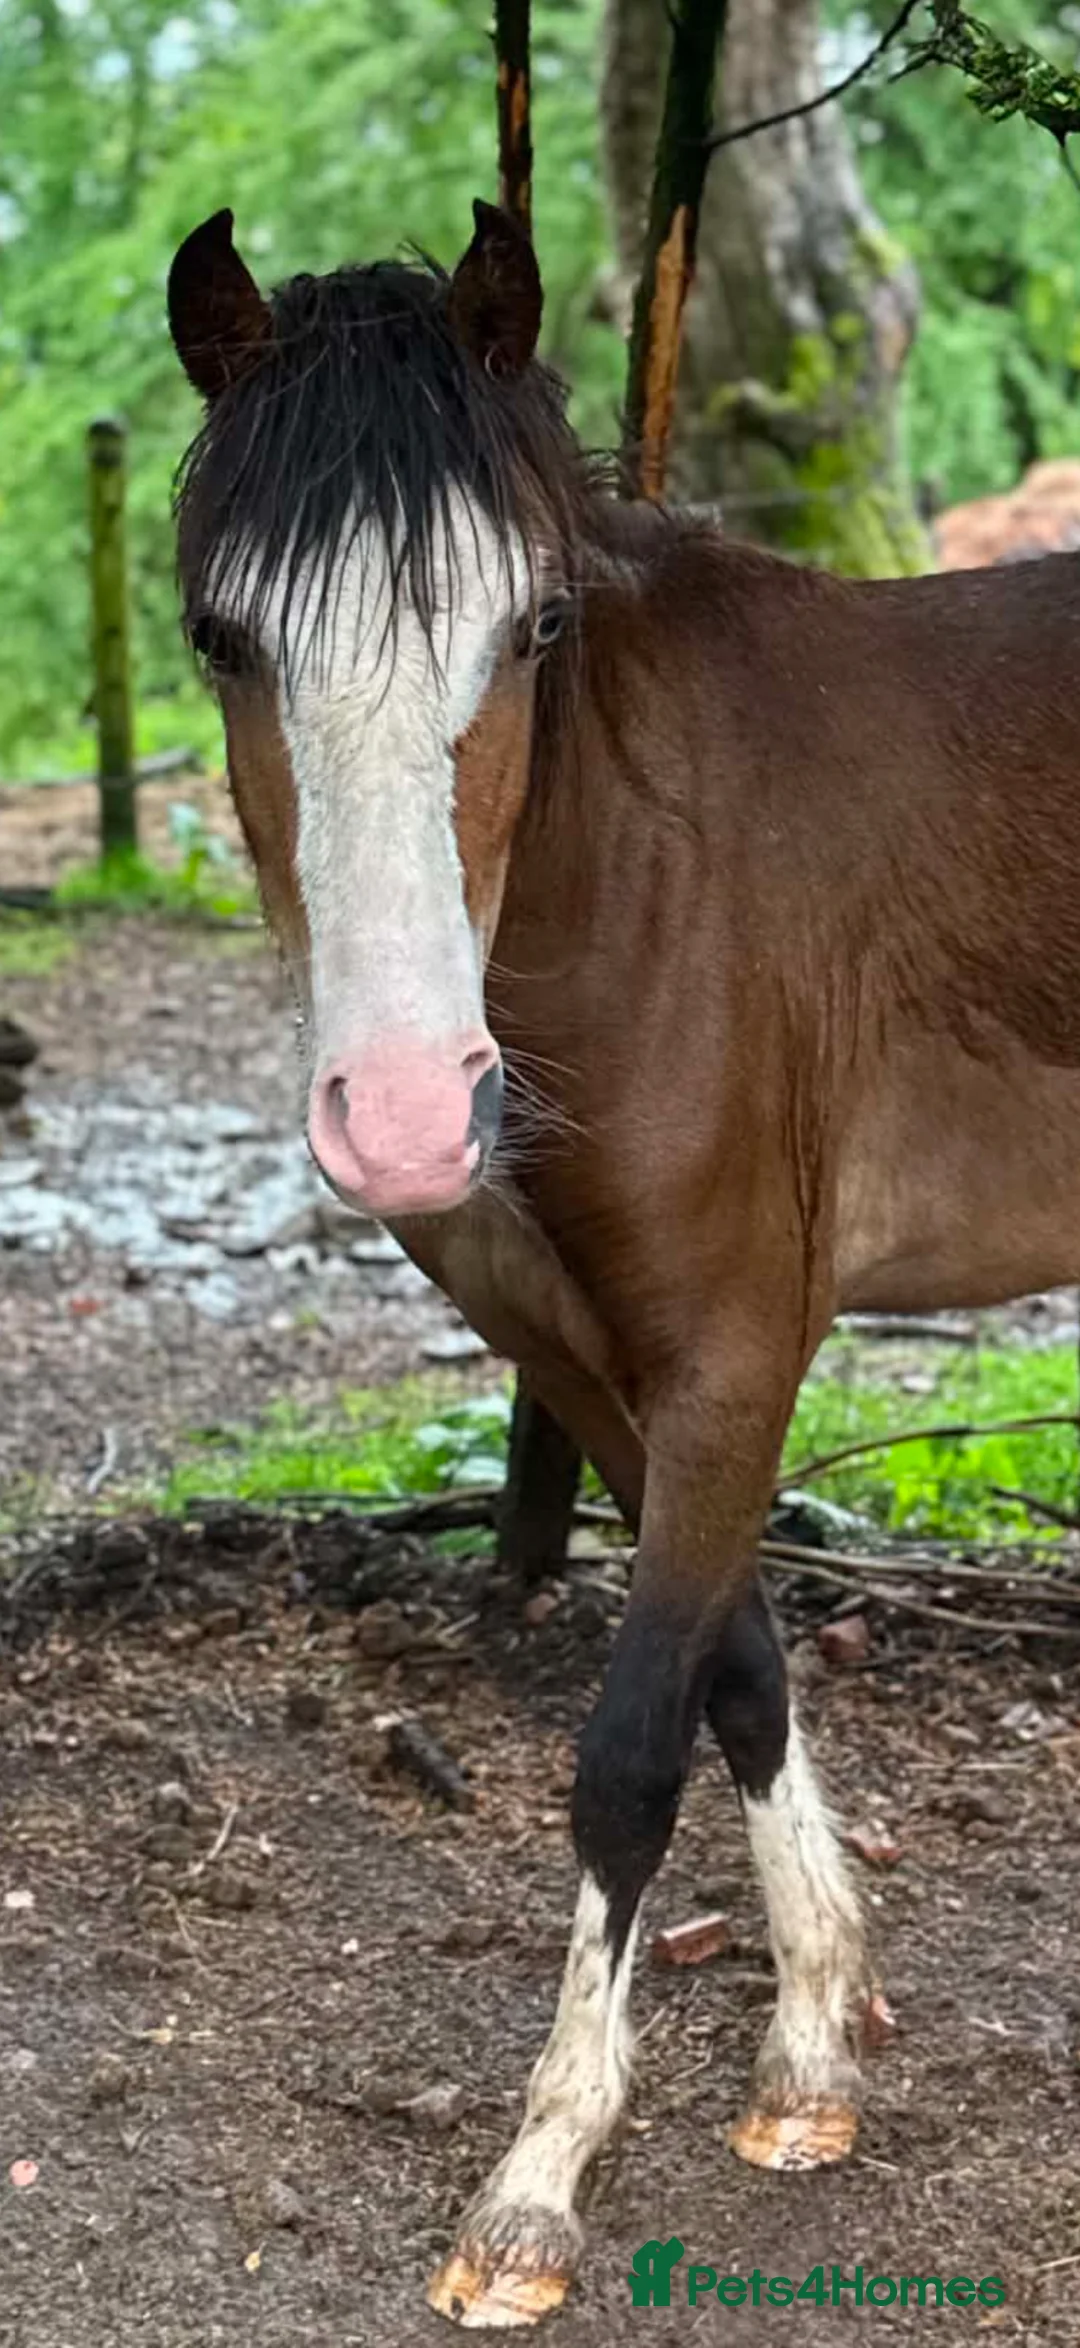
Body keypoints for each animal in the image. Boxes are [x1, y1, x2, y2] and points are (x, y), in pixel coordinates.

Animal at [168, 199, 1080, 2329]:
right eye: (222, 636)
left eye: (532, 632)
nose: (407, 1112)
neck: (649, 881)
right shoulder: (578, 1348)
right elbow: (740, 1670)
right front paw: (813, 2041)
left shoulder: (737, 1348)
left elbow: (629, 1745)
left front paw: (537, 2180)